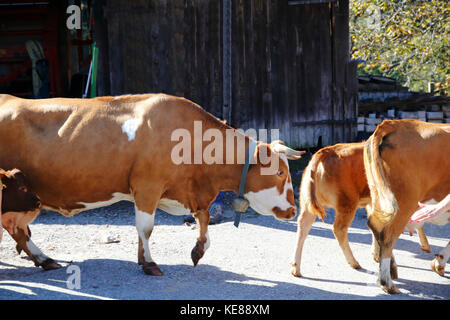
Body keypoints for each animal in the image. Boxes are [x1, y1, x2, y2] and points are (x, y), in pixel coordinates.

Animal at [0, 92, 306, 276]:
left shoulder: (190, 191)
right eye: (281, 173)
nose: (293, 210)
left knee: (17, 229)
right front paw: (149, 263)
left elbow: (203, 220)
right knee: (17, 228)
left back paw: (43, 259)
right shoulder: (147, 186)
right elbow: (146, 228)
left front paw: (196, 250)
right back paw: (41, 258)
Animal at [292, 141, 432, 278]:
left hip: (307, 204)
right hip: (347, 204)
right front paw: (424, 244)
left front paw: (376, 254)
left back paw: (295, 268)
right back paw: (354, 262)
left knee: (303, 226)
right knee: (339, 229)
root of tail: (323, 152)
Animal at [364, 119, 448, 294]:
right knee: (388, 234)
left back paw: (390, 267)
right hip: (405, 202)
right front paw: (439, 263)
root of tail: (392, 123)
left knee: (375, 224)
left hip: (379, 193)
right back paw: (387, 283)